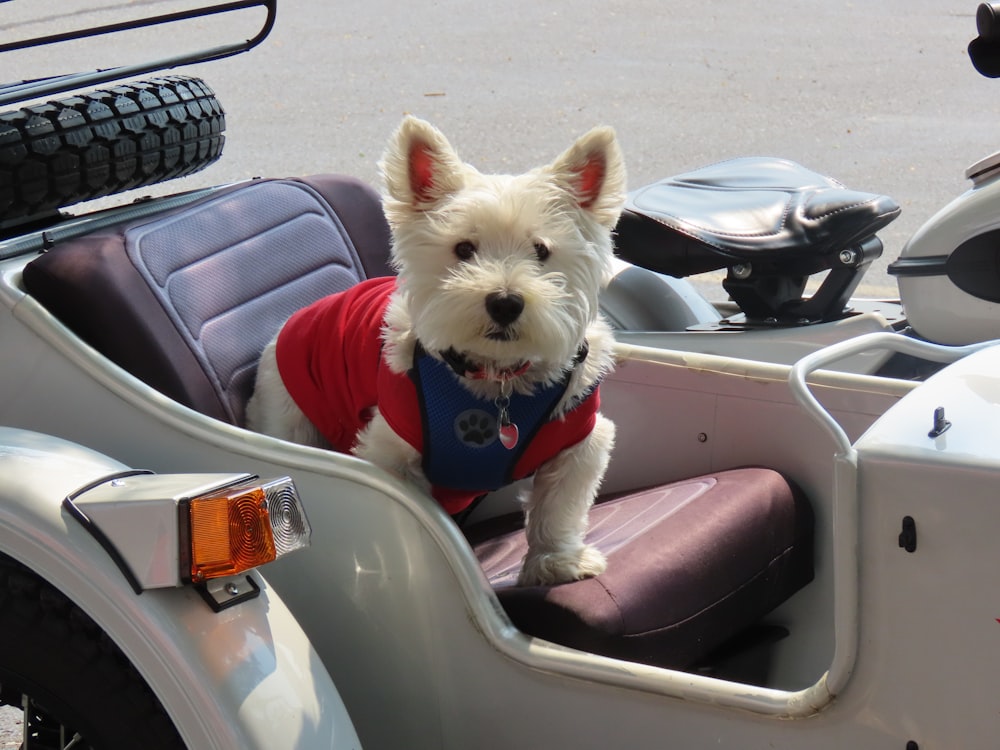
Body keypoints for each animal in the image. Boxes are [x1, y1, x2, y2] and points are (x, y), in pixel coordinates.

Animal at [246, 117, 624, 588]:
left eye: (541, 250)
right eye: (463, 248)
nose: (505, 302)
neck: (495, 379)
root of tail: (289, 321)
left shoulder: (578, 440)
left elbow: (558, 510)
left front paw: (557, 563)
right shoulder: (390, 450)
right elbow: (414, 523)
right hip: (289, 416)